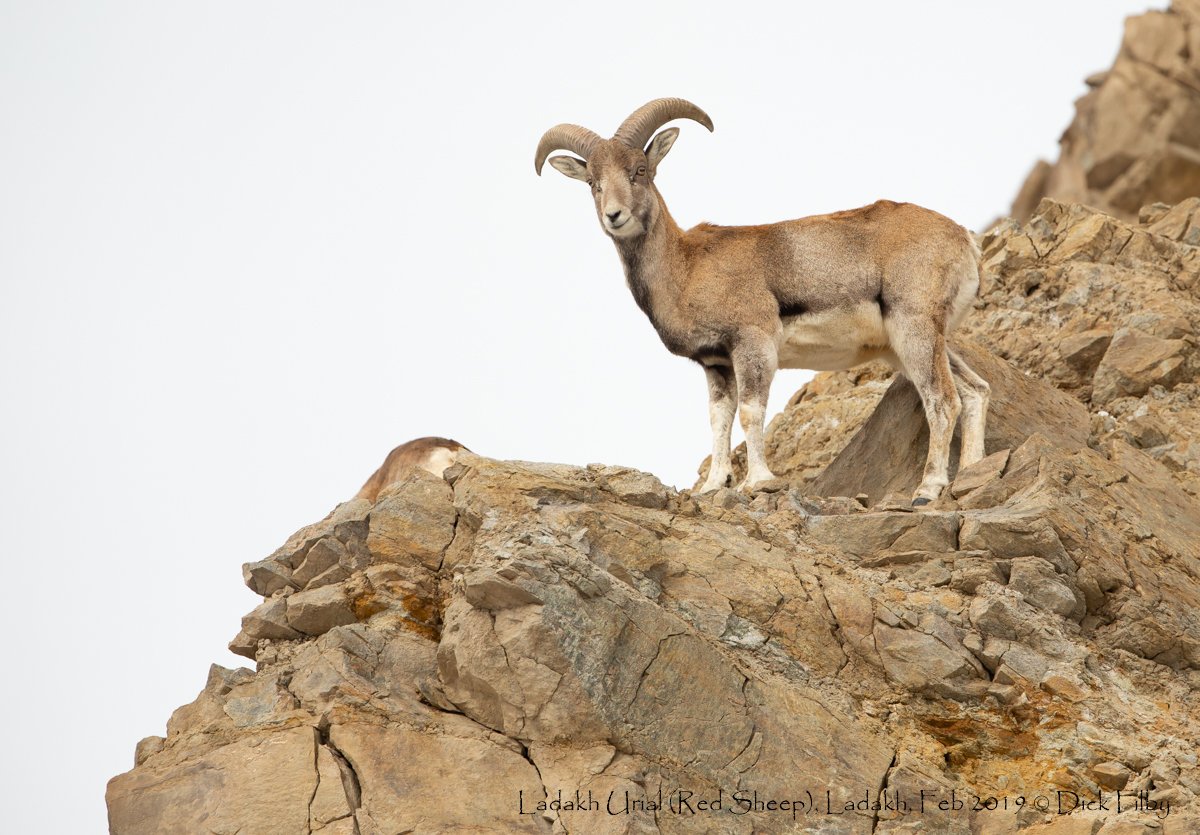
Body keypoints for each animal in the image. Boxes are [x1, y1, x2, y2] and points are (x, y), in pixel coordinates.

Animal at [540, 97, 988, 501]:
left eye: (640, 171)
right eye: (593, 183)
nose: (614, 216)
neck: (685, 268)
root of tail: (963, 239)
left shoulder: (752, 346)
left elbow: (750, 413)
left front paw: (757, 481)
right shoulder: (717, 365)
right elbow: (719, 420)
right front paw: (714, 485)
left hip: (915, 331)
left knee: (942, 399)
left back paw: (928, 489)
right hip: (912, 343)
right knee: (974, 391)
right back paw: (970, 474)